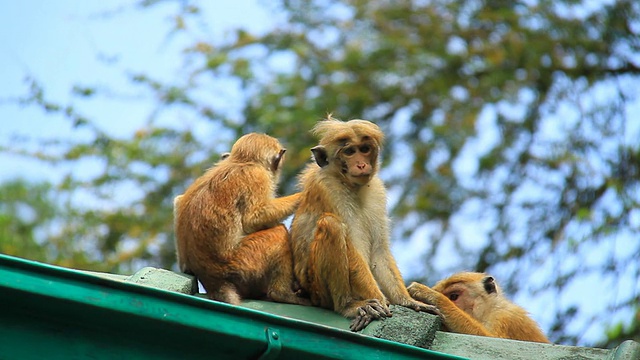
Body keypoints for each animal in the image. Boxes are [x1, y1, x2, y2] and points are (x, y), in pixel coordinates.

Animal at [290, 116, 440, 332]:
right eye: (349, 152)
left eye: (364, 149)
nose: (361, 164)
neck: (350, 184)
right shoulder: (329, 189)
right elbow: (354, 250)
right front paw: (380, 301)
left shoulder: (377, 190)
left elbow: (379, 251)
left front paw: (408, 301)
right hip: (316, 289)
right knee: (331, 224)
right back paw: (348, 305)